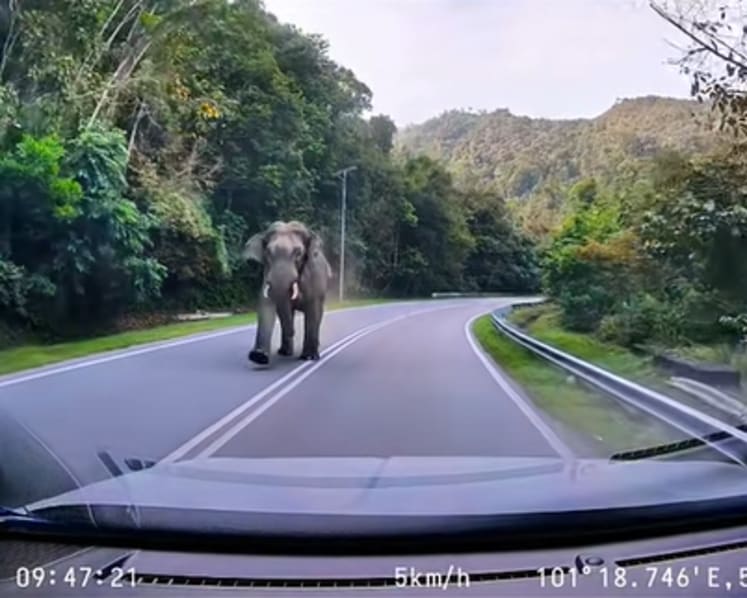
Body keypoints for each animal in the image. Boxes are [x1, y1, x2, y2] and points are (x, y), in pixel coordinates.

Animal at [242, 221, 333, 365]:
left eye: (298, 253)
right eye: (268, 252)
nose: (292, 332)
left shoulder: (314, 275)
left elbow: (313, 309)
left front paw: (309, 357)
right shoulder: (267, 271)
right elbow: (266, 304)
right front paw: (259, 357)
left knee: (318, 314)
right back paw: (284, 352)